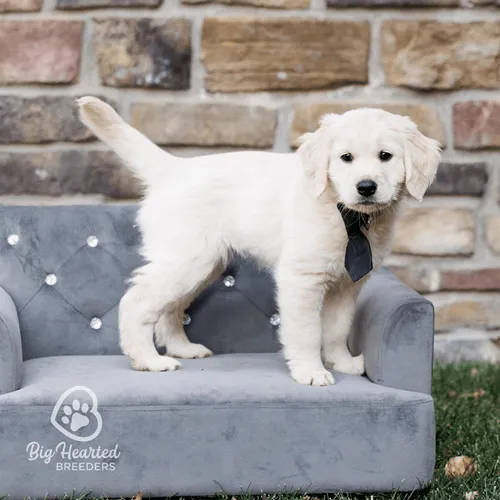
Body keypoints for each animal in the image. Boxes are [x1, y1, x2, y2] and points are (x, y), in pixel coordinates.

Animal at [78, 97, 442, 386]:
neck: (344, 213)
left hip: (203, 265)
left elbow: (337, 328)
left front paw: (342, 362)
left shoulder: (346, 285)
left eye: (386, 156)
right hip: (185, 259)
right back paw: (148, 360)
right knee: (136, 302)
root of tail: (173, 169)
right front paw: (311, 371)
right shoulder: (300, 279)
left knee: (170, 308)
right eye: (346, 158)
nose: (366, 187)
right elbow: (307, 331)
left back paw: (183, 348)